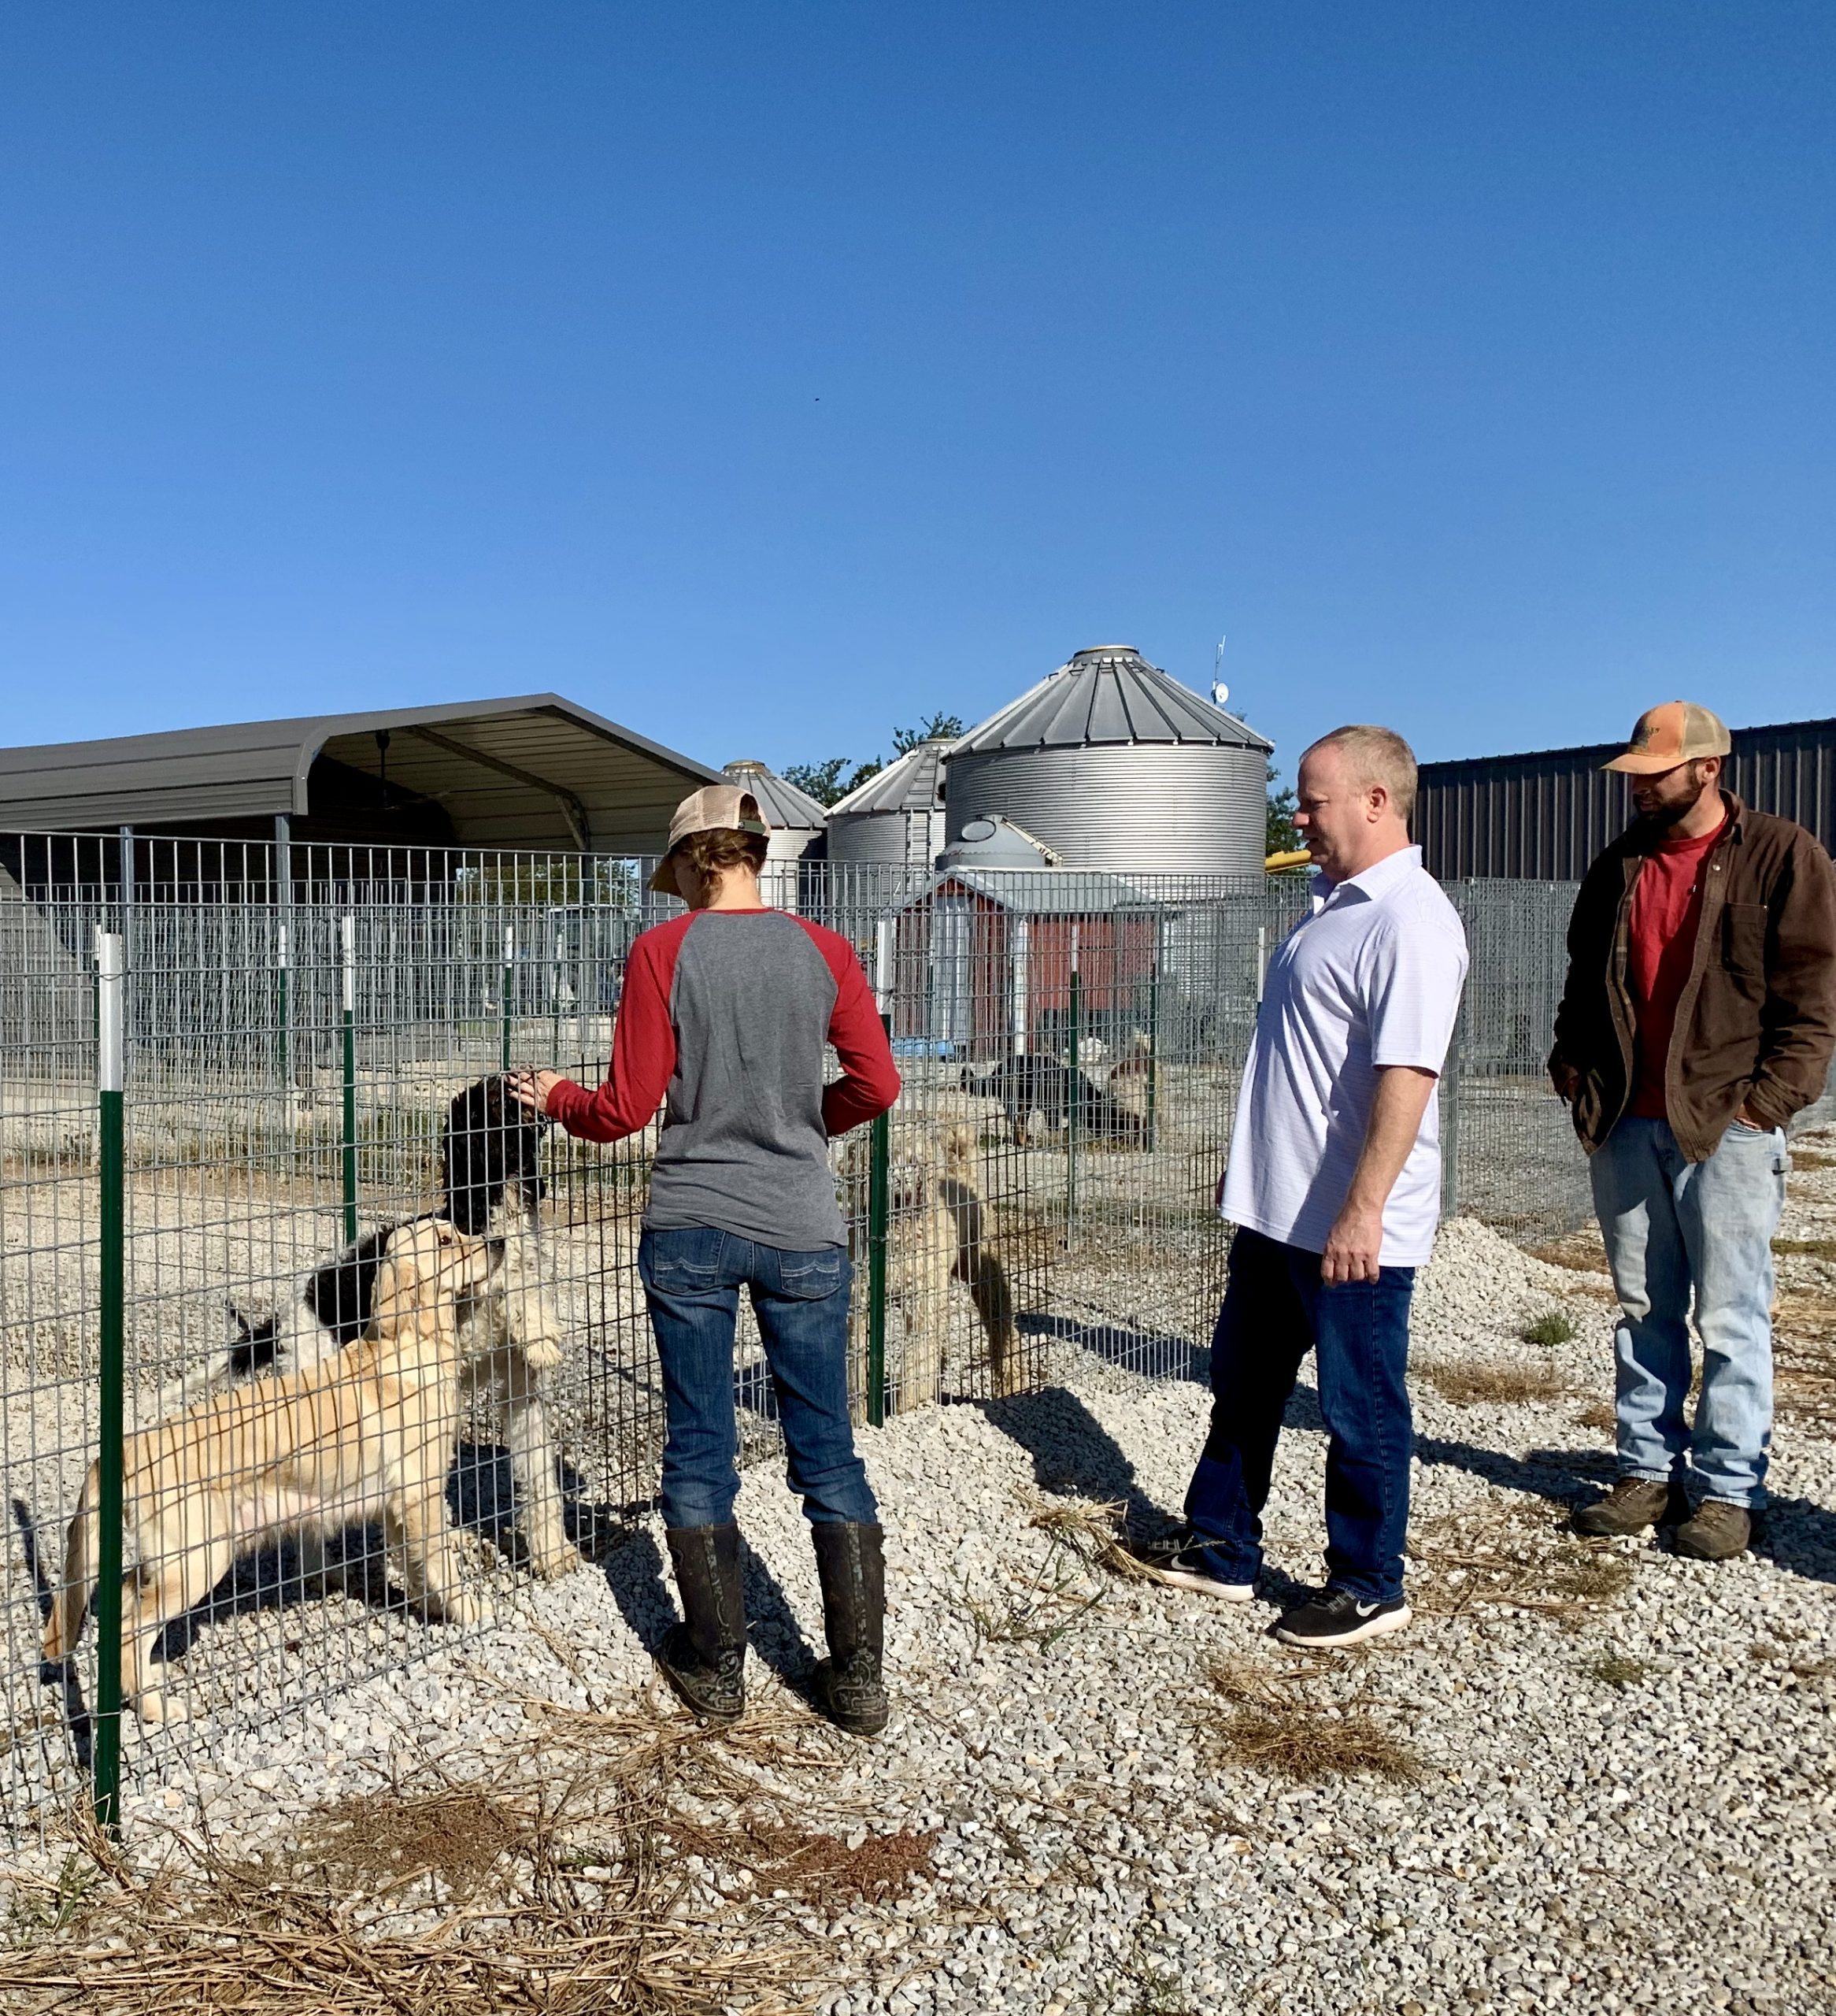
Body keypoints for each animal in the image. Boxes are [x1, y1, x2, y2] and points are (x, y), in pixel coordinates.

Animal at [46, 1217, 499, 1725]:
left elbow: (418, 1566)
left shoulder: (399, 1507)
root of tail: (123, 1450)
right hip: (198, 1561)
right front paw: (468, 1610)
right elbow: (443, 1565)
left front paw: (429, 1606)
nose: (500, 1244)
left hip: (169, 1562)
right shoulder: (421, 1498)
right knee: (129, 1627)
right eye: (445, 1242)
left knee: (125, 1598)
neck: (409, 1346)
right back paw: (153, 1707)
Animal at [225, 1080, 576, 1581]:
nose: (521, 1082)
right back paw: (324, 1574)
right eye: (489, 1102)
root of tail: (291, 1309)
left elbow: (540, 1476)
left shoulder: (520, 1388)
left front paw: (553, 1552)